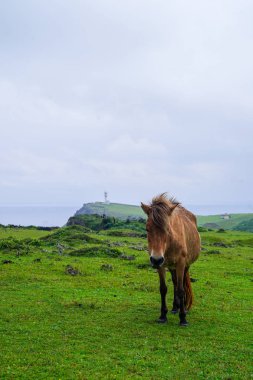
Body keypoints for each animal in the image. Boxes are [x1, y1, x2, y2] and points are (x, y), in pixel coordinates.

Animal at [140, 193, 200, 326]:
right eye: (147, 229)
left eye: (167, 229)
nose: (156, 259)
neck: (170, 243)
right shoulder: (161, 266)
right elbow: (163, 289)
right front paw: (163, 315)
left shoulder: (181, 264)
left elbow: (181, 290)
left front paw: (183, 318)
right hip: (171, 267)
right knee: (175, 282)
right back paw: (174, 307)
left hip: (185, 266)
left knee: (180, 284)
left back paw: (181, 308)